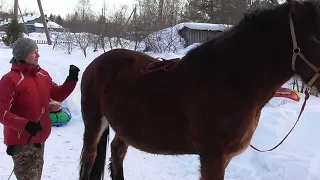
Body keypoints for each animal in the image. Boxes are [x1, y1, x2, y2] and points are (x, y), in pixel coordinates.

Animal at [79, 0, 320, 179]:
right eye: (315, 37)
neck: (232, 79)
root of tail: (97, 62)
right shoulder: (213, 157)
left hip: (125, 126)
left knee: (117, 153)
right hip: (94, 123)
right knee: (89, 160)